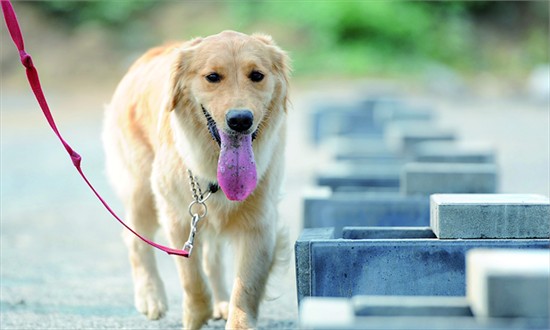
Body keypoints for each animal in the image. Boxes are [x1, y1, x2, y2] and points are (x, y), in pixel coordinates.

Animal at [102, 29, 292, 328]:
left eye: (257, 75)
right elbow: (191, 277)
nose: (240, 120)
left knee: (212, 258)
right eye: (212, 77)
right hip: (141, 191)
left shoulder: (260, 224)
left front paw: (236, 317)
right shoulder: (179, 217)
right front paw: (196, 315)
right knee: (135, 240)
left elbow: (245, 287)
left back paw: (222, 301)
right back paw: (150, 296)